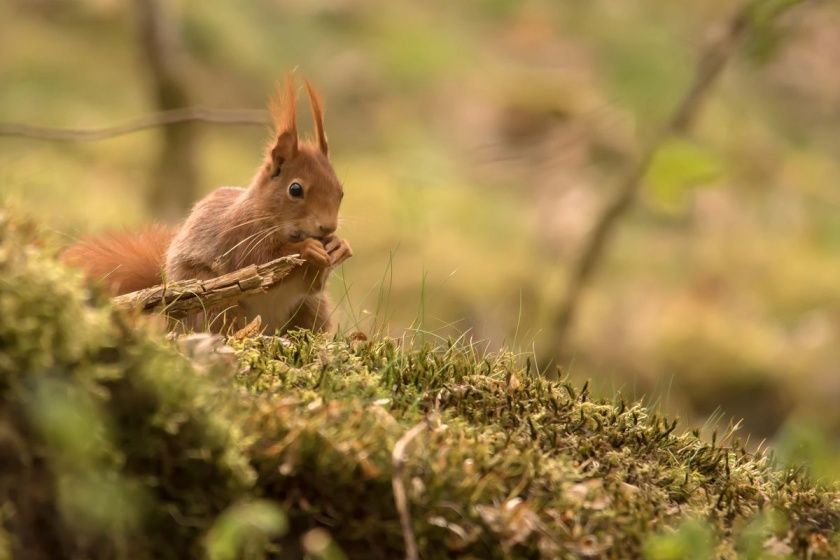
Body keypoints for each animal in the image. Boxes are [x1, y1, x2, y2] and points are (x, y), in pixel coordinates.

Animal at [63, 76, 352, 334]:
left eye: (341, 191)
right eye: (295, 189)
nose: (328, 227)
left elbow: (312, 285)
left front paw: (339, 246)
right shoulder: (239, 237)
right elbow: (260, 260)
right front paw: (306, 249)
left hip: (312, 309)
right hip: (210, 299)